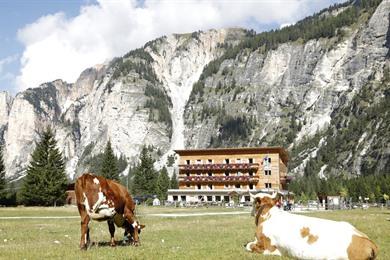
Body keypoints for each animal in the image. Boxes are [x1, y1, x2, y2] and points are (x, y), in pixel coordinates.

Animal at [247, 192, 378, 258]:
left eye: (253, 203)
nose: (251, 212)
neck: (269, 215)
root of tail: (370, 243)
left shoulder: (266, 247)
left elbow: (248, 246)